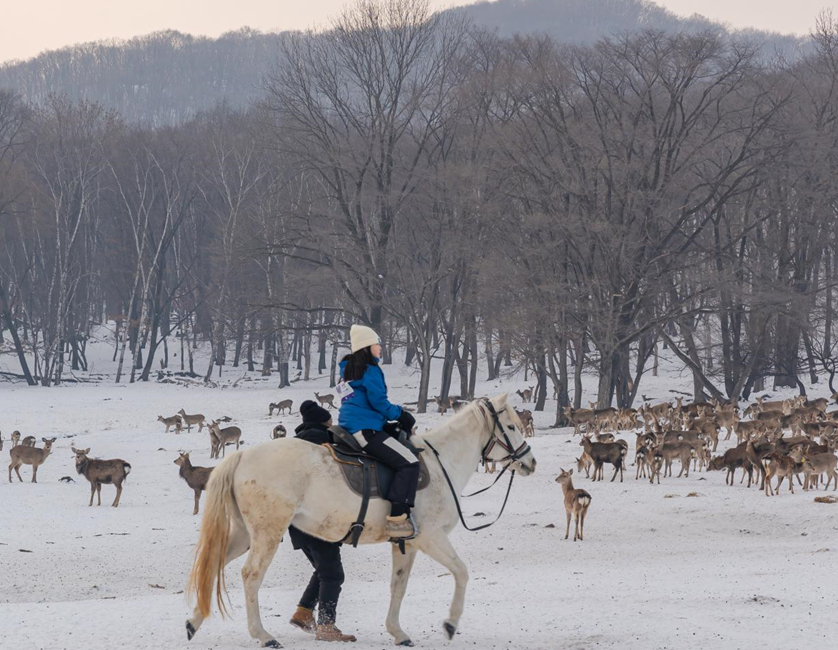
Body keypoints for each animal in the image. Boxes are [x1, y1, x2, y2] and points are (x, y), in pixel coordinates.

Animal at [185, 393, 537, 647]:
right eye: (512, 426)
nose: (530, 462)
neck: (441, 464)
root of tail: (242, 455)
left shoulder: (406, 543)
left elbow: (398, 586)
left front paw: (397, 632)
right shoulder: (431, 537)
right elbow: (461, 573)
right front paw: (450, 624)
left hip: (244, 535)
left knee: (214, 563)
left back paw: (194, 621)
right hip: (267, 534)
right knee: (251, 576)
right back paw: (263, 635)